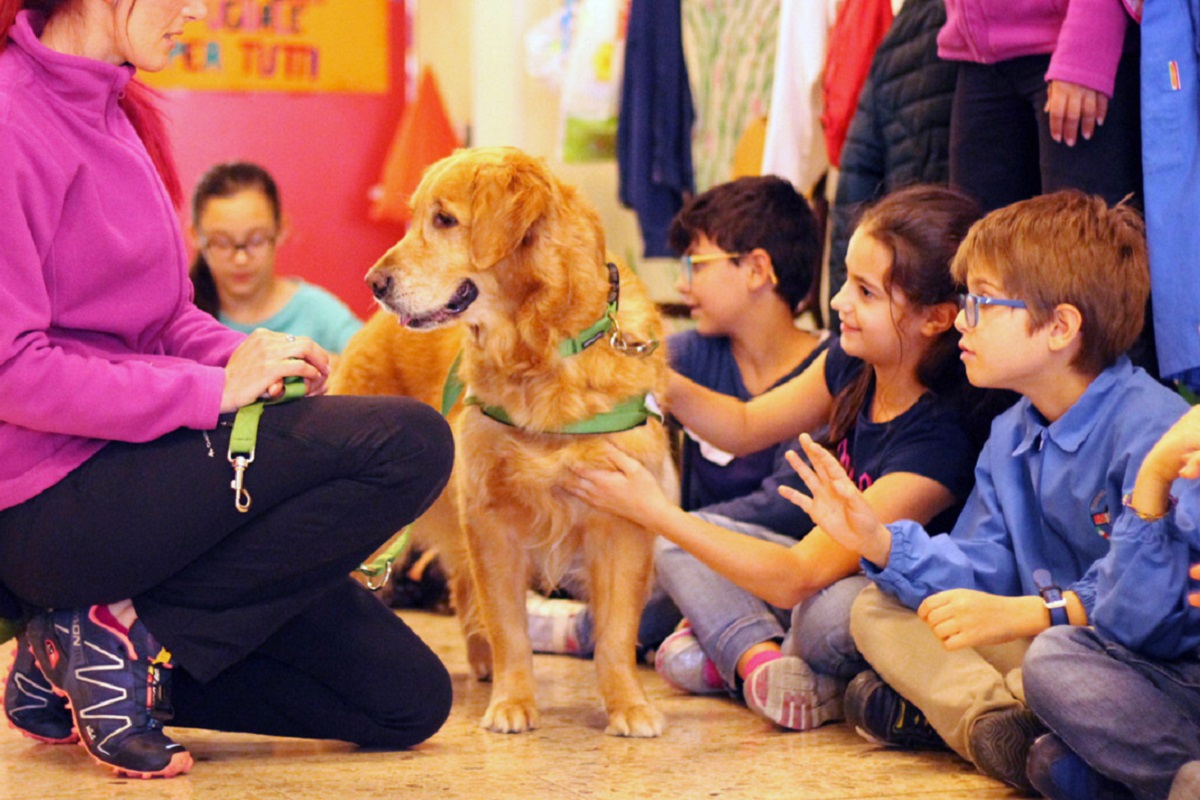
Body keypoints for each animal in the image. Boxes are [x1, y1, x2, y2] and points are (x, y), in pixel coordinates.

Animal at [333, 145, 672, 738]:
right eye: (414, 217)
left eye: (444, 219)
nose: (374, 282)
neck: (546, 348)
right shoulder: (491, 520)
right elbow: (510, 627)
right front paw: (515, 701)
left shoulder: (622, 523)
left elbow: (615, 636)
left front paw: (628, 704)